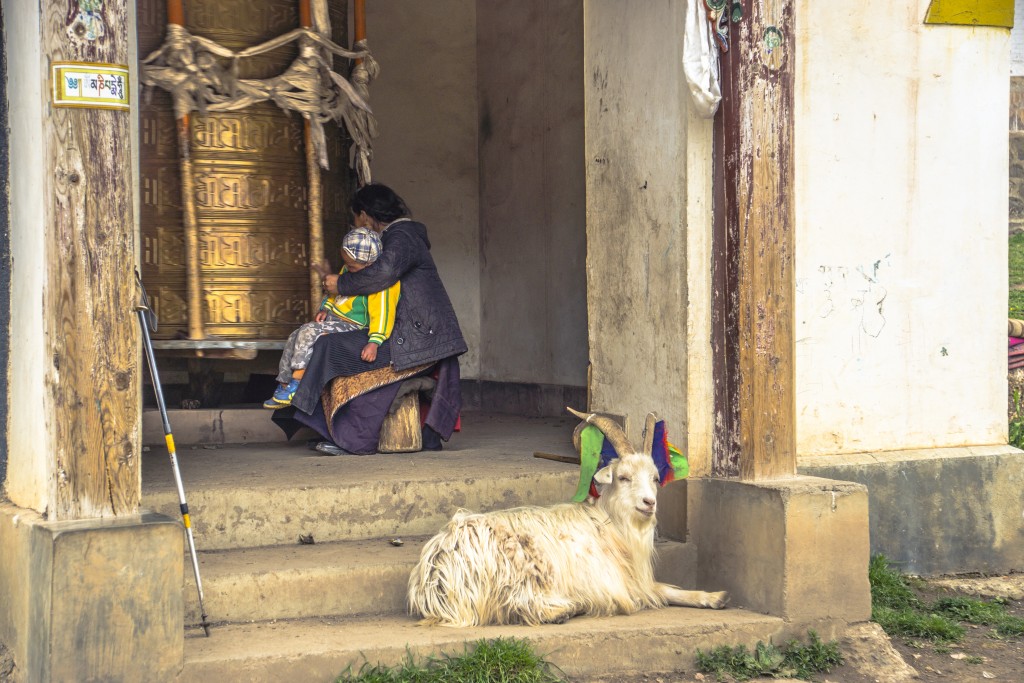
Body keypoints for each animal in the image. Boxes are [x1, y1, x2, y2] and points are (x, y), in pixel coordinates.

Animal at [407, 413, 729, 626]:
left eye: (655, 478)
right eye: (623, 477)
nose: (649, 503)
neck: (607, 525)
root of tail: (435, 574)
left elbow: (664, 588)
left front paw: (714, 597)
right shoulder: (611, 582)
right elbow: (646, 594)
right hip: (517, 567)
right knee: (522, 603)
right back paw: (565, 609)